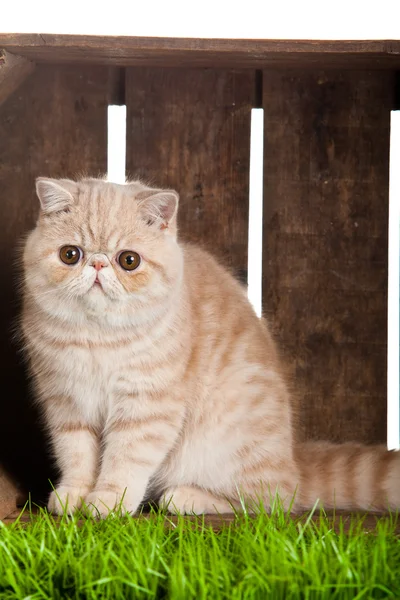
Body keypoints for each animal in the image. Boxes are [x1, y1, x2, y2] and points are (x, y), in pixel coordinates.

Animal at [19, 175, 400, 516]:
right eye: (70, 254)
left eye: (129, 260)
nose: (98, 263)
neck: (98, 337)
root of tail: (294, 460)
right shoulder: (66, 402)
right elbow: (76, 453)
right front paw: (74, 494)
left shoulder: (147, 406)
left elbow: (126, 457)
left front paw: (109, 499)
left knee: (273, 500)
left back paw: (184, 497)